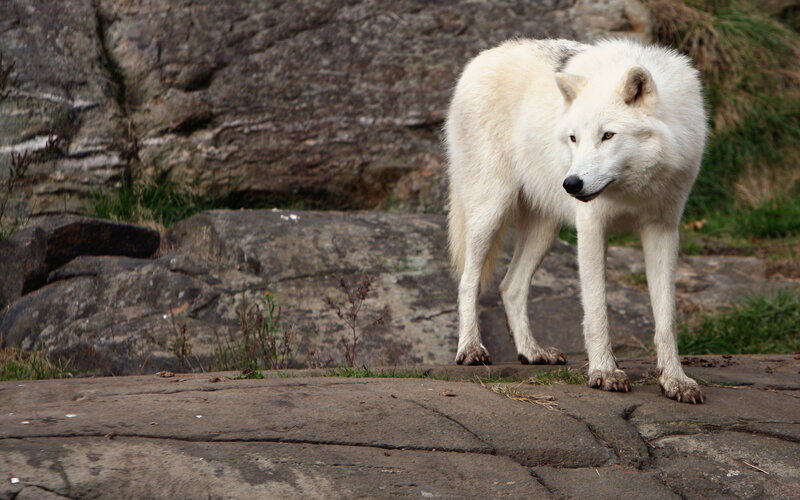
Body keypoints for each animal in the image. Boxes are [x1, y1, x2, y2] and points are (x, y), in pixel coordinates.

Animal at [446, 38, 707, 404]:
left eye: (608, 135)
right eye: (573, 138)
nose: (571, 184)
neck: (633, 188)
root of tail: (480, 59)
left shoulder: (664, 230)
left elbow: (666, 318)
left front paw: (675, 381)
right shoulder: (592, 228)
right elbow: (597, 310)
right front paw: (605, 373)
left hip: (544, 231)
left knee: (510, 286)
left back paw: (531, 352)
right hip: (490, 211)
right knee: (468, 281)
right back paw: (470, 349)